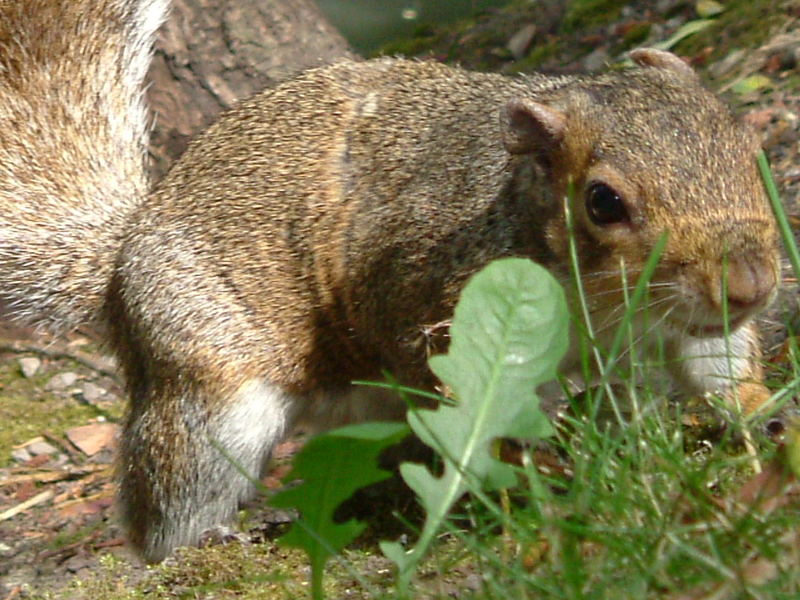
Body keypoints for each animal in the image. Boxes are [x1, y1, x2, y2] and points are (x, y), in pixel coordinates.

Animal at [0, 0, 780, 564]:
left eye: (750, 147)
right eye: (604, 202)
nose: (749, 286)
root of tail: (127, 243)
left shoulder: (691, 325)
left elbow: (717, 368)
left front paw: (764, 416)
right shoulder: (434, 307)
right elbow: (478, 408)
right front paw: (536, 472)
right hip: (209, 378)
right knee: (167, 498)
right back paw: (206, 539)